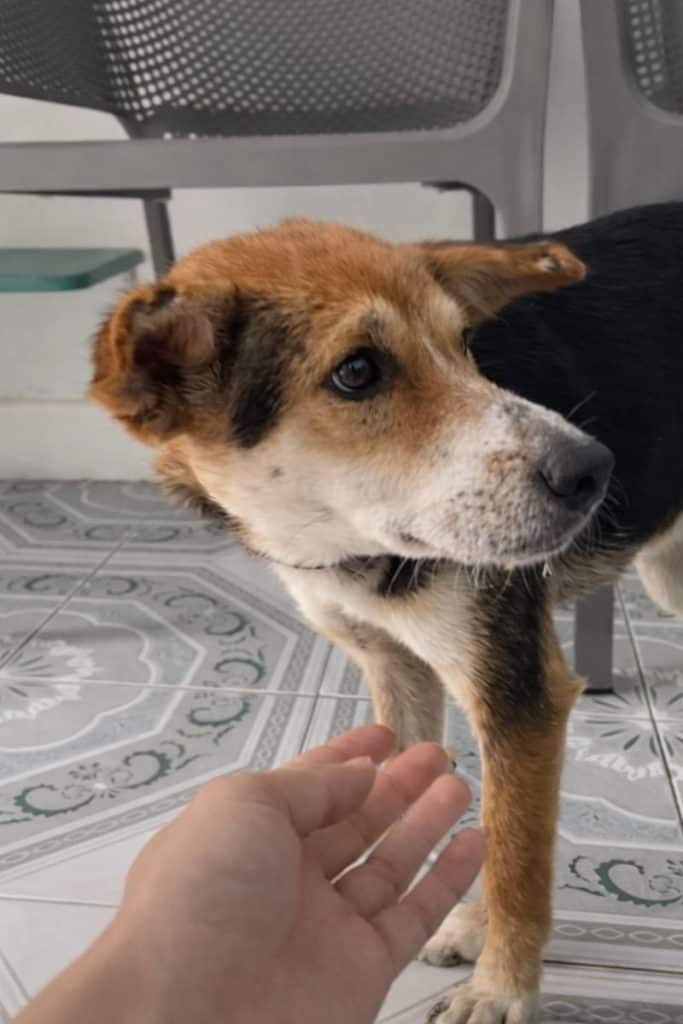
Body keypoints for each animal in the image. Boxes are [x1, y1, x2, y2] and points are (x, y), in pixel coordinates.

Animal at [90, 202, 683, 1023]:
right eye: (357, 372)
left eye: (464, 345)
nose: (594, 470)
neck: (351, 549)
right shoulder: (393, 667)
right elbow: (453, 816)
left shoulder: (518, 694)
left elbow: (517, 859)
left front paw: (501, 987)